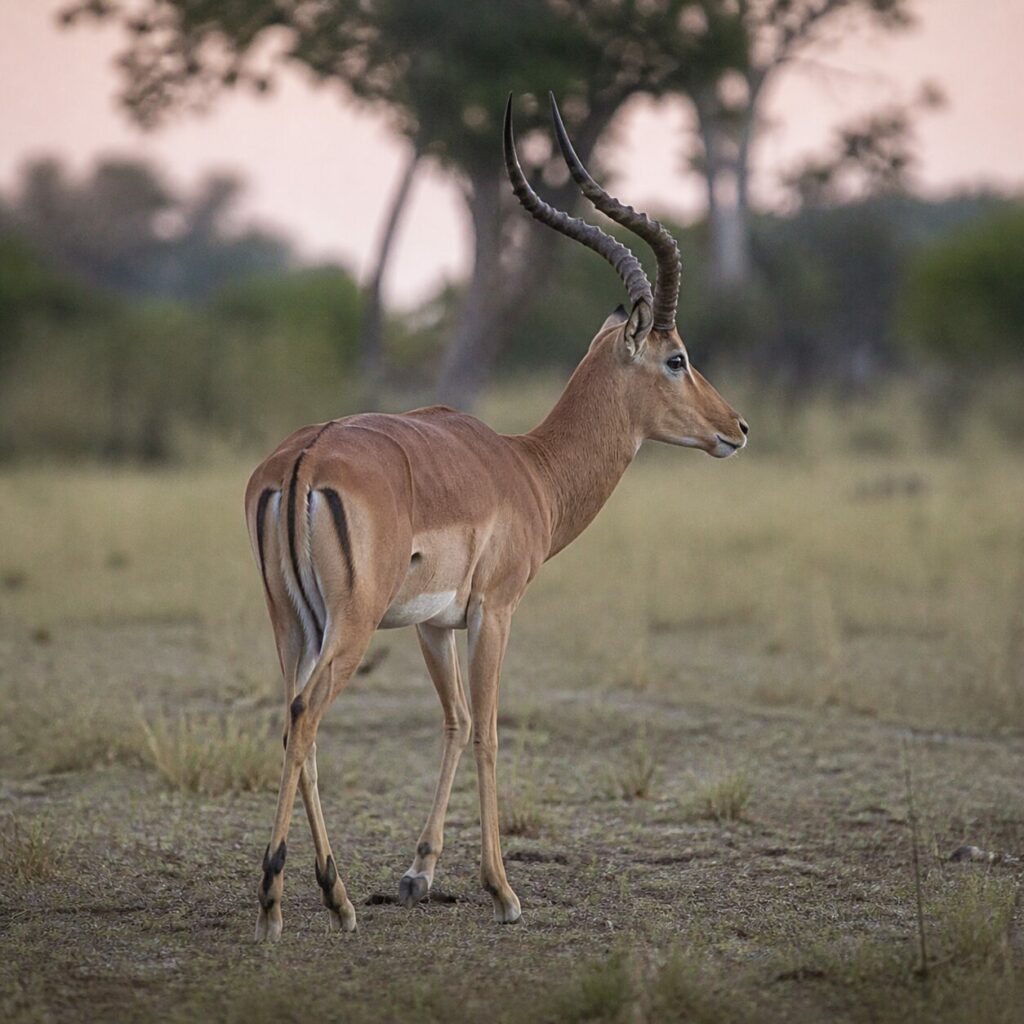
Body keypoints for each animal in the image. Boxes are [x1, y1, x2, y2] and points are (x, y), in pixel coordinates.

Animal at [244, 93, 747, 941]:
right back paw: (285, 900)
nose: (737, 428)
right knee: (309, 714)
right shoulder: (496, 611)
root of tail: (304, 459)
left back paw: (336, 897)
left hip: (293, 624)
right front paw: (503, 890)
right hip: (348, 625)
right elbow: (487, 730)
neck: (528, 469)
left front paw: (418, 874)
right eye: (676, 356)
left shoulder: (433, 624)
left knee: (292, 717)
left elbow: (451, 723)